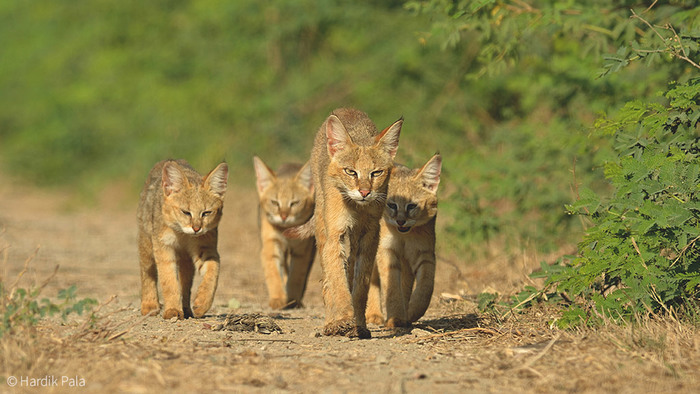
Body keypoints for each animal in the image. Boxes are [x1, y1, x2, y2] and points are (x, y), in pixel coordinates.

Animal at [135, 159, 227, 318]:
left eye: (206, 213)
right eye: (186, 212)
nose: (196, 228)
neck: (183, 236)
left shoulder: (207, 249)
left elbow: (213, 273)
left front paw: (202, 303)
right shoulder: (163, 248)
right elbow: (169, 281)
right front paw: (172, 310)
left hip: (186, 261)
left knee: (185, 285)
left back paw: (186, 309)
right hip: (147, 246)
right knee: (147, 273)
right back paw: (149, 305)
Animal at [253, 155, 316, 310]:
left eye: (295, 203)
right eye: (274, 202)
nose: (283, 216)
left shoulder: (302, 251)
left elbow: (296, 276)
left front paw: (293, 300)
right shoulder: (271, 246)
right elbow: (274, 275)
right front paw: (278, 299)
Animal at [308, 107, 402, 338]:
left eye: (376, 173)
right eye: (351, 171)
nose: (365, 192)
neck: (357, 208)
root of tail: (345, 109)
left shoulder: (370, 233)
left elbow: (361, 283)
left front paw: (359, 324)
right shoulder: (336, 233)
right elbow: (337, 280)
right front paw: (342, 319)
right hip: (322, 227)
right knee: (327, 279)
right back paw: (330, 322)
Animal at [366, 152, 442, 328]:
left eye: (412, 206)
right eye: (392, 205)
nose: (400, 221)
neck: (404, 236)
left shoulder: (424, 252)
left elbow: (426, 285)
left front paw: (412, 312)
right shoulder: (386, 250)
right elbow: (391, 285)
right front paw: (396, 317)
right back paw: (373, 314)